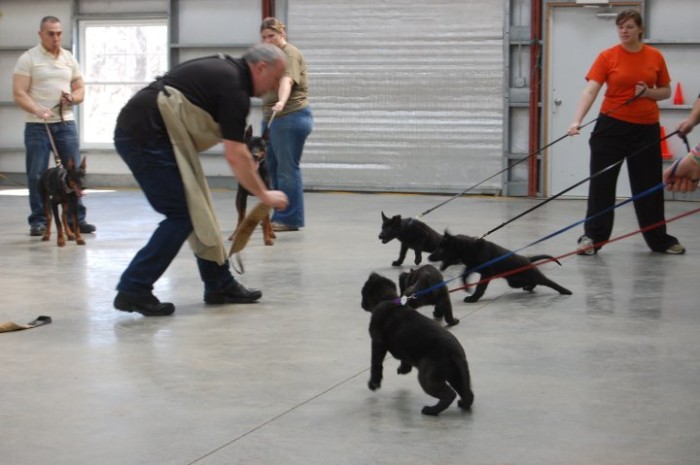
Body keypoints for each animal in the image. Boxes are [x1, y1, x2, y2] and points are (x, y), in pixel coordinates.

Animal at [361, 272, 474, 416]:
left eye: (363, 292)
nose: (361, 304)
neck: (388, 299)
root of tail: (457, 354)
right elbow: (404, 359)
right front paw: (404, 369)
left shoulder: (377, 343)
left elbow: (376, 364)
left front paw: (374, 384)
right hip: (456, 375)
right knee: (468, 394)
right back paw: (462, 403)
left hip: (428, 377)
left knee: (449, 394)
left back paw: (431, 410)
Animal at [428, 231, 572, 303]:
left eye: (441, 249)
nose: (429, 257)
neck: (468, 247)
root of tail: (527, 259)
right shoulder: (471, 267)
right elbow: (463, 276)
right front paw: (467, 288)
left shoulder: (486, 273)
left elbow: (480, 287)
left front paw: (473, 298)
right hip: (514, 281)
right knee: (533, 282)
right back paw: (529, 287)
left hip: (531, 275)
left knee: (546, 281)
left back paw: (565, 291)